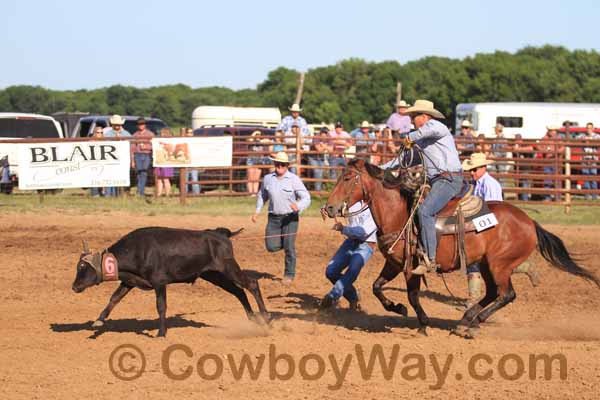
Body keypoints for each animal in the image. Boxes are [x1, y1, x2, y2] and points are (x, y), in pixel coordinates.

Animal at [326, 159, 596, 338]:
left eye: (347, 178)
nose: (329, 208)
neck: (400, 214)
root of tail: (529, 222)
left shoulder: (412, 267)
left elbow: (413, 295)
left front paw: (423, 323)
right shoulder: (393, 263)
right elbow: (377, 287)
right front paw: (397, 308)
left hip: (499, 264)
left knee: (506, 294)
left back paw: (473, 323)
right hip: (487, 263)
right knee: (492, 293)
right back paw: (467, 320)